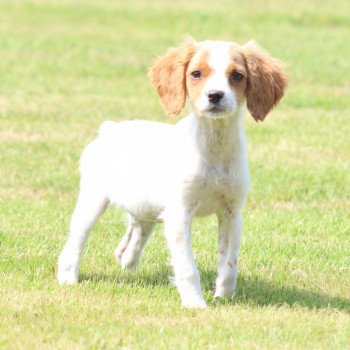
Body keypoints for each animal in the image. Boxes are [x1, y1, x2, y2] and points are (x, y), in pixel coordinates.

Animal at [57, 37, 288, 308]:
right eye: (196, 73)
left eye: (237, 75)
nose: (215, 95)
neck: (214, 146)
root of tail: (109, 128)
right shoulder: (180, 213)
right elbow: (187, 266)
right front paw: (195, 303)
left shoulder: (231, 213)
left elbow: (229, 264)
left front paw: (224, 296)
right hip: (93, 201)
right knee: (75, 241)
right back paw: (68, 277)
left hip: (147, 206)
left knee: (134, 232)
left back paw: (127, 258)